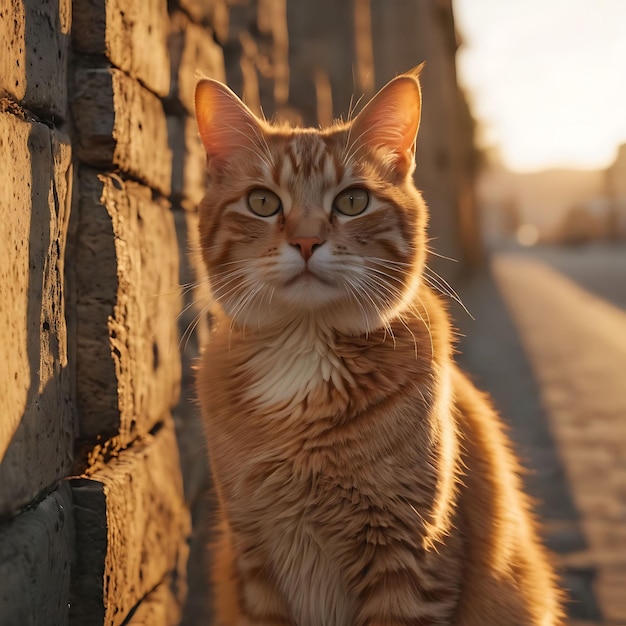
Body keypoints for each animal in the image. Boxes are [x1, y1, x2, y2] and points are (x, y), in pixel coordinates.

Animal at [193, 68, 564, 624]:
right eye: (262, 202)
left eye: (352, 202)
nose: (306, 242)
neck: (305, 351)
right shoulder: (255, 562)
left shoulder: (408, 560)